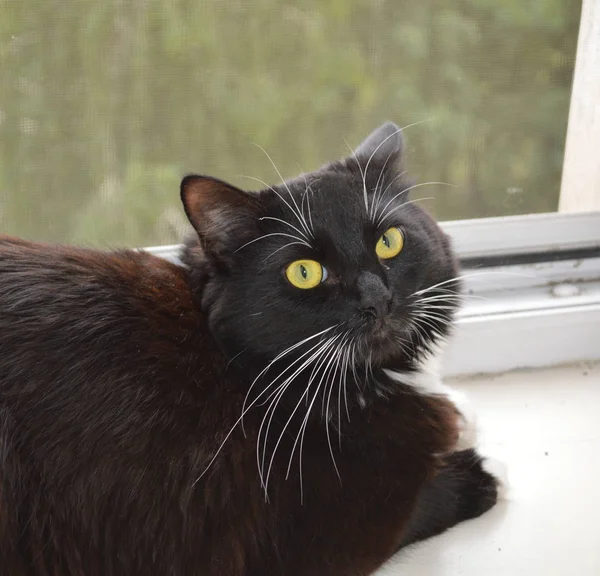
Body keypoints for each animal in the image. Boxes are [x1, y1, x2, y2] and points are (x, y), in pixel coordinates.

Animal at [0, 122, 502, 576]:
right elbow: (424, 501)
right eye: (304, 272)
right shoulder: (311, 540)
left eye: (389, 241)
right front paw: (476, 470)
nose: (378, 299)